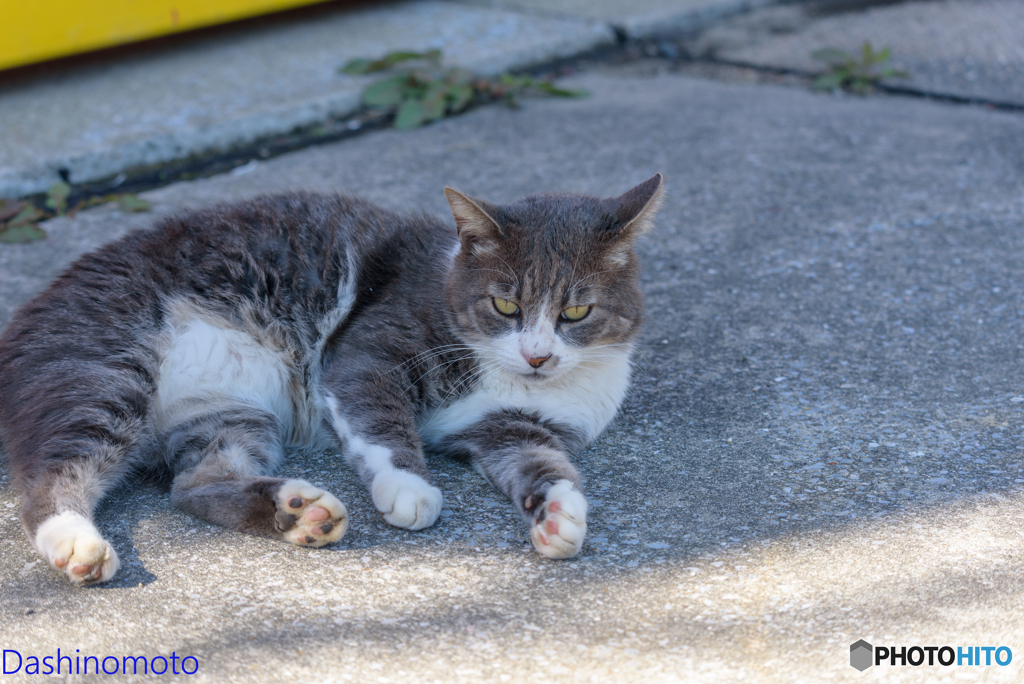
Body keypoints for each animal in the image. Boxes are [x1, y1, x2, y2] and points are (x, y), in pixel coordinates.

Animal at [0, 174, 663, 585]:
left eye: (576, 312)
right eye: (504, 305)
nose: (537, 356)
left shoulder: (512, 429)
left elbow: (542, 462)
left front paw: (559, 513)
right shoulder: (368, 349)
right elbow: (380, 421)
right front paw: (410, 489)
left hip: (224, 410)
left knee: (194, 483)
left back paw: (296, 511)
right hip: (104, 369)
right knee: (49, 477)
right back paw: (76, 544)